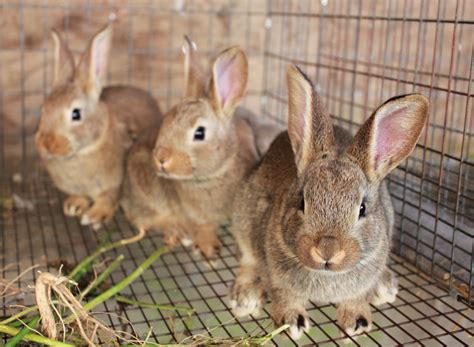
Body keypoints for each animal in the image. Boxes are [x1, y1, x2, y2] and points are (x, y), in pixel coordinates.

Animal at [35, 25, 163, 231]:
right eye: (43, 109)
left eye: (76, 114)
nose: (47, 143)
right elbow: (80, 196)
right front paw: (73, 205)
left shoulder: (114, 184)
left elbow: (108, 199)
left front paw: (95, 216)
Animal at [118, 39, 260, 260]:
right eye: (165, 122)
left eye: (199, 133)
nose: (161, 158)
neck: (212, 176)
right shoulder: (193, 214)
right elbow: (202, 226)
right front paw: (208, 248)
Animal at [229, 64, 430, 340]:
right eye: (302, 202)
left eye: (362, 209)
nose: (327, 251)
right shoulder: (274, 273)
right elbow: (284, 294)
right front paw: (292, 322)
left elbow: (356, 298)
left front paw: (358, 321)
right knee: (247, 260)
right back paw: (245, 296)